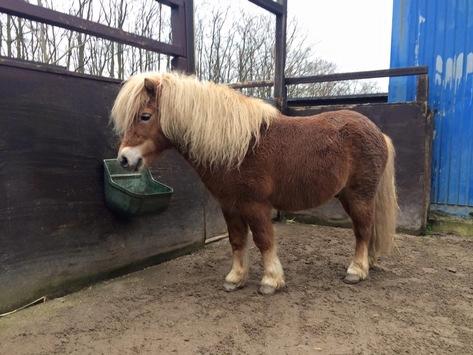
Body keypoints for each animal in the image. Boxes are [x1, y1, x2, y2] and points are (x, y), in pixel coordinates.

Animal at [111, 71, 398, 296]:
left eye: (145, 116)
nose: (125, 159)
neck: (238, 147)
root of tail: (378, 132)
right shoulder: (230, 205)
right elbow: (237, 240)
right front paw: (236, 278)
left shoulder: (255, 205)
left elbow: (263, 240)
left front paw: (271, 281)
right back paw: (369, 263)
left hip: (359, 195)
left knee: (363, 229)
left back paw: (357, 270)